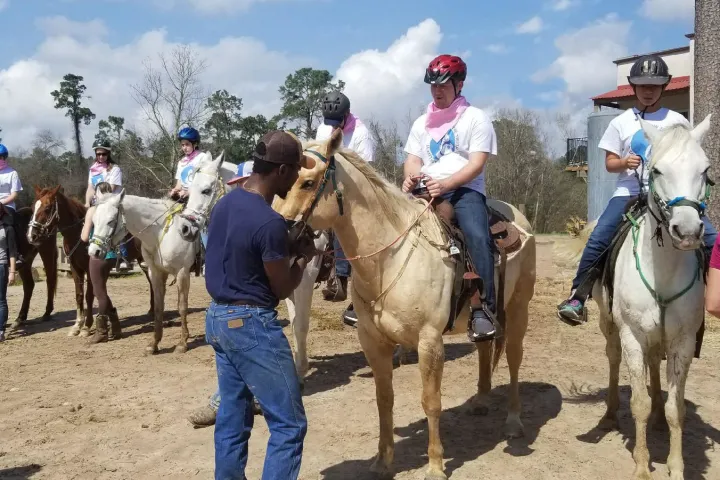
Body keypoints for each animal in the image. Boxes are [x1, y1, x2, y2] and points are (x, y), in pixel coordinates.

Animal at [26, 185, 153, 337]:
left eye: (47, 208)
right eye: (33, 208)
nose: (31, 236)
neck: (78, 234)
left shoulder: (90, 268)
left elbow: (89, 296)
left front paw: (87, 327)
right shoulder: (75, 269)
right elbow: (79, 295)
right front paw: (77, 325)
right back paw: (152, 310)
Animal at [88, 152, 233, 354]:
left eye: (110, 221)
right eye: (94, 220)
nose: (94, 250)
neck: (160, 234)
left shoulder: (182, 273)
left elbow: (182, 307)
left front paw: (182, 343)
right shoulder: (155, 273)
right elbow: (158, 307)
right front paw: (154, 343)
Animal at [272, 129, 537, 479]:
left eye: (307, 182)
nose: (277, 238)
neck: (389, 258)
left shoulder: (429, 342)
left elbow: (431, 402)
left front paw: (436, 466)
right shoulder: (373, 341)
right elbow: (384, 399)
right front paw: (383, 462)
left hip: (519, 308)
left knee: (514, 358)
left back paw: (514, 422)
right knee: (484, 346)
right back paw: (480, 401)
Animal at [564, 115, 712, 480]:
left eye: (704, 170)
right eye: (656, 170)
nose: (687, 231)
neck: (663, 271)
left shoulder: (683, 340)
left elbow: (676, 408)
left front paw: (676, 466)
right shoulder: (632, 334)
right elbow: (639, 403)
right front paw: (643, 466)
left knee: (655, 366)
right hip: (610, 325)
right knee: (614, 359)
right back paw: (609, 415)